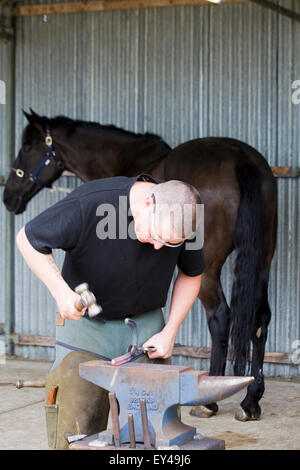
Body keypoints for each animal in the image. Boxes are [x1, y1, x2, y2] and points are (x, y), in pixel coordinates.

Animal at [2, 111, 278, 422]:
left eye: (27, 147)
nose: (9, 197)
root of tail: (241, 158)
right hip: (263, 259)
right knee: (260, 319)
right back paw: (251, 400)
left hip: (208, 270)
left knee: (220, 317)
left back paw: (209, 401)